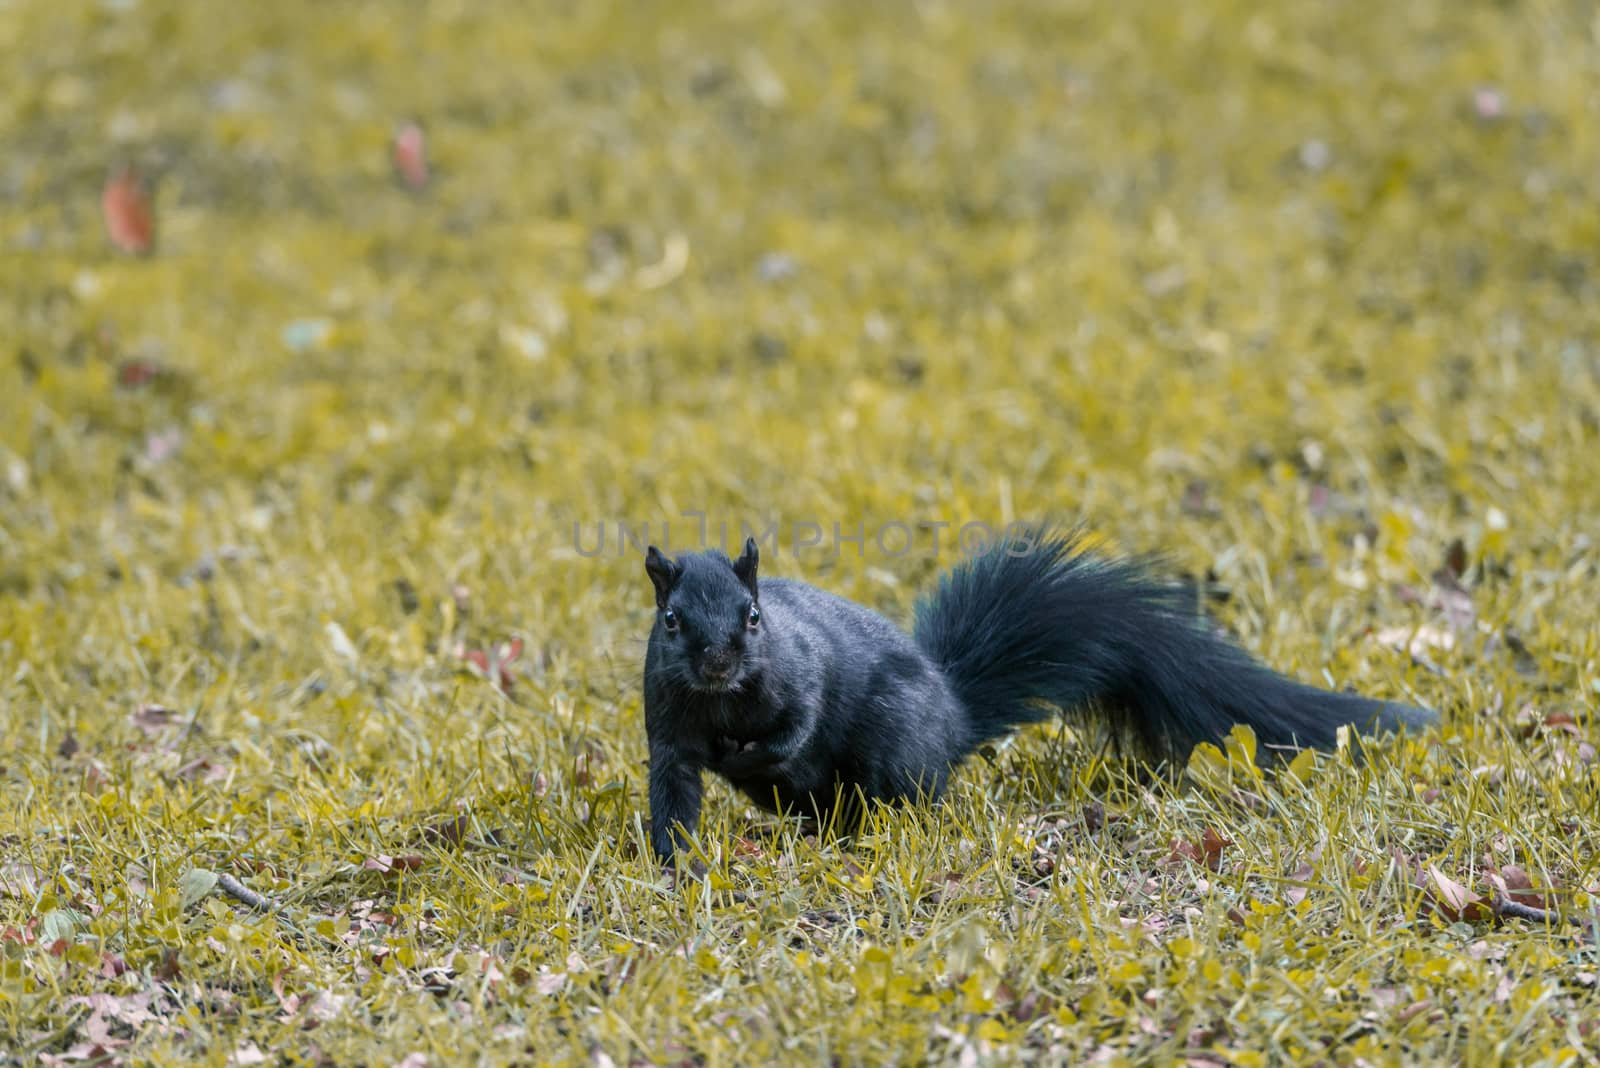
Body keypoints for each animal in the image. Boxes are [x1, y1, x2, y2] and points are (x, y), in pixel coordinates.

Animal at [640, 524, 1440, 869]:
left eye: (753, 617)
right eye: (672, 620)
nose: (717, 663)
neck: (722, 703)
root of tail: (956, 714)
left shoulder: (803, 672)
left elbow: (799, 725)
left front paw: (746, 754)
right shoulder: (669, 731)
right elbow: (675, 794)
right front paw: (677, 863)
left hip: (896, 735)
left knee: (904, 794)